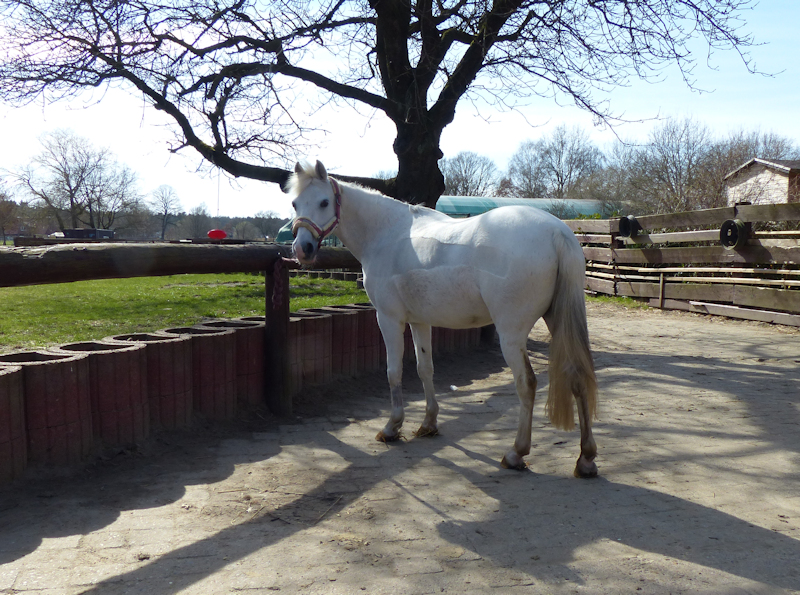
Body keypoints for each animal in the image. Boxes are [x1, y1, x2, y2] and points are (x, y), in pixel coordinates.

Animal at [289, 161, 598, 478]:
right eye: (295, 203)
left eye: (324, 202)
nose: (302, 249)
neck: (386, 232)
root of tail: (556, 233)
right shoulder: (419, 321)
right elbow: (425, 369)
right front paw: (428, 423)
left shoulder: (389, 319)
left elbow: (393, 372)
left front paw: (392, 427)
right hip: (558, 320)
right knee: (578, 376)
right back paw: (586, 458)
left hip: (511, 334)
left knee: (527, 384)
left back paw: (516, 453)